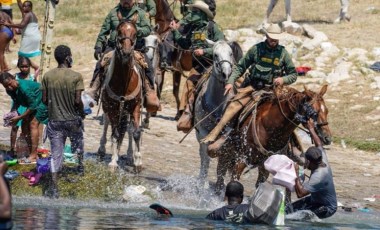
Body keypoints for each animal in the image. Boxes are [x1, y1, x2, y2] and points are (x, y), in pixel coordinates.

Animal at [97, 21, 143, 172]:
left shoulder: (135, 106)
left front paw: (138, 162)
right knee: (107, 124)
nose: (127, 52)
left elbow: (136, 132)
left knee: (128, 129)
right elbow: (115, 134)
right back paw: (102, 150)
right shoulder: (112, 108)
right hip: (108, 108)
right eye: (119, 32)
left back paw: (129, 156)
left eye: (135, 33)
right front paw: (113, 162)